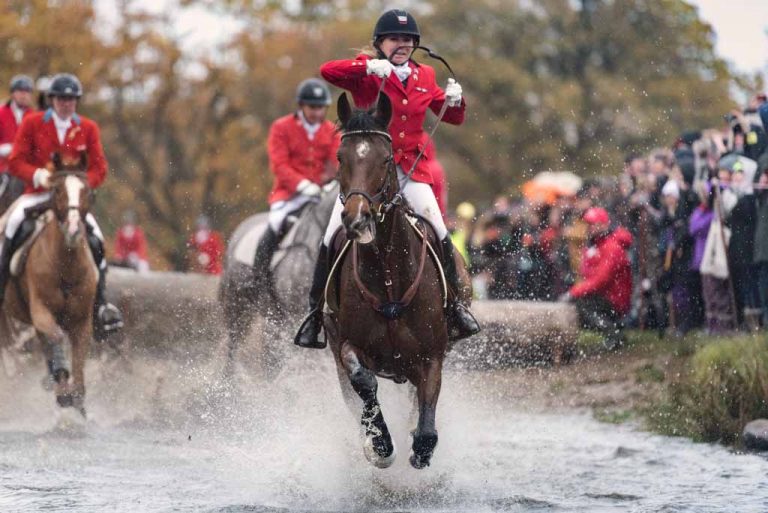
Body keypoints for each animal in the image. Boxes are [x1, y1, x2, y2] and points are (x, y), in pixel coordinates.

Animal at [0, 152, 99, 416]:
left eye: (87, 191)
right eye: (57, 190)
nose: (74, 229)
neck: (66, 266)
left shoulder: (81, 320)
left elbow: (79, 358)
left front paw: (76, 399)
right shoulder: (41, 311)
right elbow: (56, 337)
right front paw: (62, 388)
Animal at [326, 92, 448, 468]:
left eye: (386, 158)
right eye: (340, 157)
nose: (358, 219)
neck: (388, 273)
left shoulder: (431, 355)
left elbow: (426, 420)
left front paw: (421, 444)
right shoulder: (347, 346)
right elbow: (363, 381)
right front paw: (379, 443)